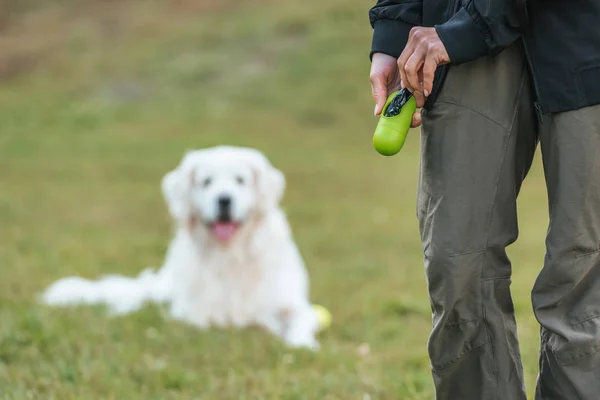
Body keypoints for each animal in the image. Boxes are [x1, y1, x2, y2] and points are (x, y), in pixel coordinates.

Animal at [39, 145, 322, 348]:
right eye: (206, 182)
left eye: (241, 180)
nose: (224, 199)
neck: (230, 256)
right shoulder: (194, 313)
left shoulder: (292, 305)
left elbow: (299, 322)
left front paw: (300, 343)